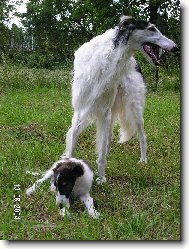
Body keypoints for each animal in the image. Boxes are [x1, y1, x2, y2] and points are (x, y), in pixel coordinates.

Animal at [61, 15, 176, 183]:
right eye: (151, 28)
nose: (175, 47)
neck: (110, 56)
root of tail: (135, 62)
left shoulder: (103, 111)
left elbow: (101, 151)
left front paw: (101, 178)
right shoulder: (81, 108)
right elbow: (73, 139)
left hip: (134, 107)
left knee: (142, 136)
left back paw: (143, 161)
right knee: (108, 138)